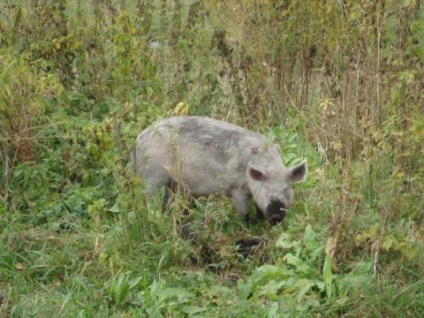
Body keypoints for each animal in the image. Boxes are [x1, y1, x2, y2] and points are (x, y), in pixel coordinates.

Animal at [133, 116, 308, 224]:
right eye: (266, 189)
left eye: (287, 190)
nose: (276, 215)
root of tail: (140, 138)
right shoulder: (237, 188)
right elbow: (243, 213)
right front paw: (248, 226)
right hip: (153, 176)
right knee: (147, 200)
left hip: (172, 183)